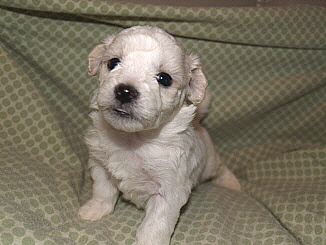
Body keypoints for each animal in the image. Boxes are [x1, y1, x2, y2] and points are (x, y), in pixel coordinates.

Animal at [78, 26, 239, 245]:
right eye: (113, 63)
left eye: (164, 78)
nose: (125, 91)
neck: (133, 139)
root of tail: (198, 123)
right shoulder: (100, 164)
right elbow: (103, 191)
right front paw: (93, 210)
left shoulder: (168, 192)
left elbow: (154, 226)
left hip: (210, 164)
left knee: (220, 168)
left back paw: (233, 184)